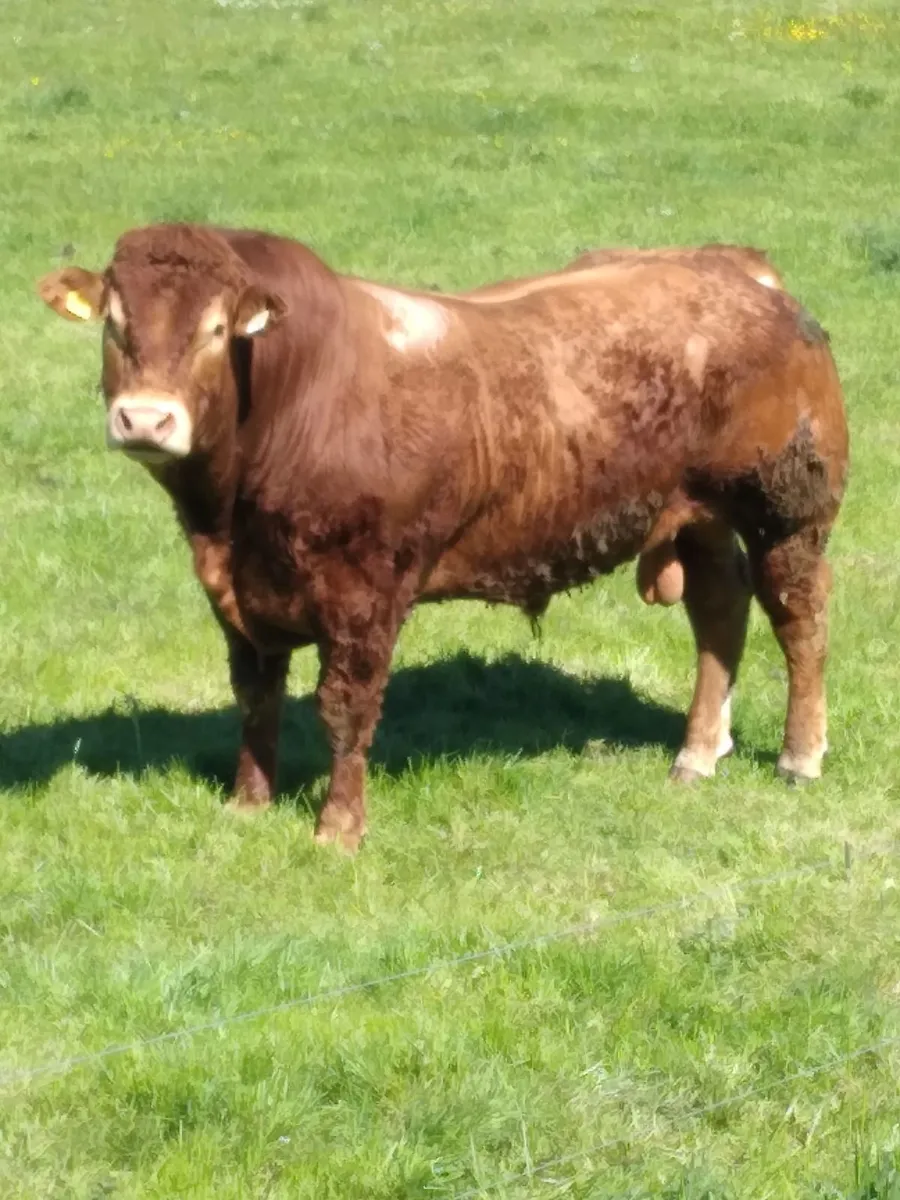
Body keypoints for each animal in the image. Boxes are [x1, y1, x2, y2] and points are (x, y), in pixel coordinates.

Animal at [37, 223, 848, 852]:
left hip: (786, 508)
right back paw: (697, 753)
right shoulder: (238, 592)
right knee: (720, 612)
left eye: (213, 331)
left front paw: (338, 829)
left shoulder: (364, 592)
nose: (146, 419)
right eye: (115, 324)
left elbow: (345, 708)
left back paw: (799, 756)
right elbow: (256, 697)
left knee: (798, 616)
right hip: (698, 513)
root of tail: (734, 265)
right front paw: (248, 803)